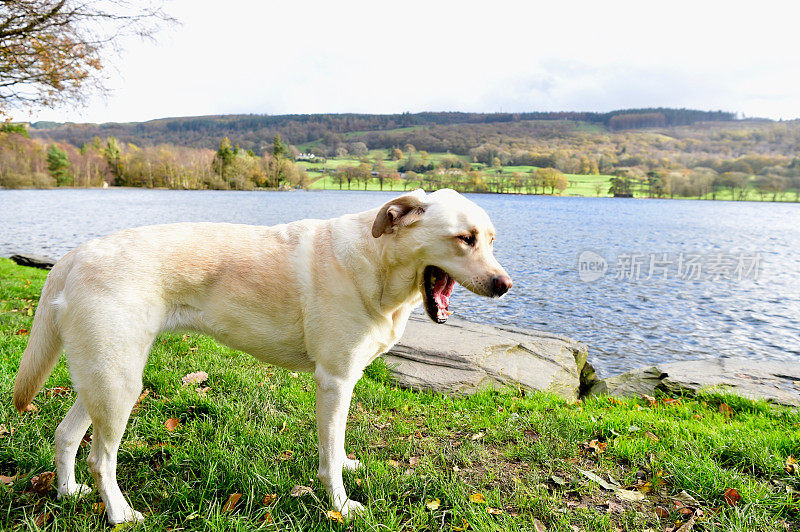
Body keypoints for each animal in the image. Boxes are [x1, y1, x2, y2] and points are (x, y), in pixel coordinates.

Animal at [14, 188, 512, 524]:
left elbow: (338, 446)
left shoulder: (346, 381)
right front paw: (340, 504)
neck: (378, 262)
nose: (505, 285)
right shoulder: (334, 380)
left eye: (490, 239)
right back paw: (119, 514)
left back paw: (67, 493)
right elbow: (329, 461)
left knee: (65, 435)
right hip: (119, 383)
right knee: (102, 459)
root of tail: (73, 255)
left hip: (103, 376)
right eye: (465, 238)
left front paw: (348, 464)